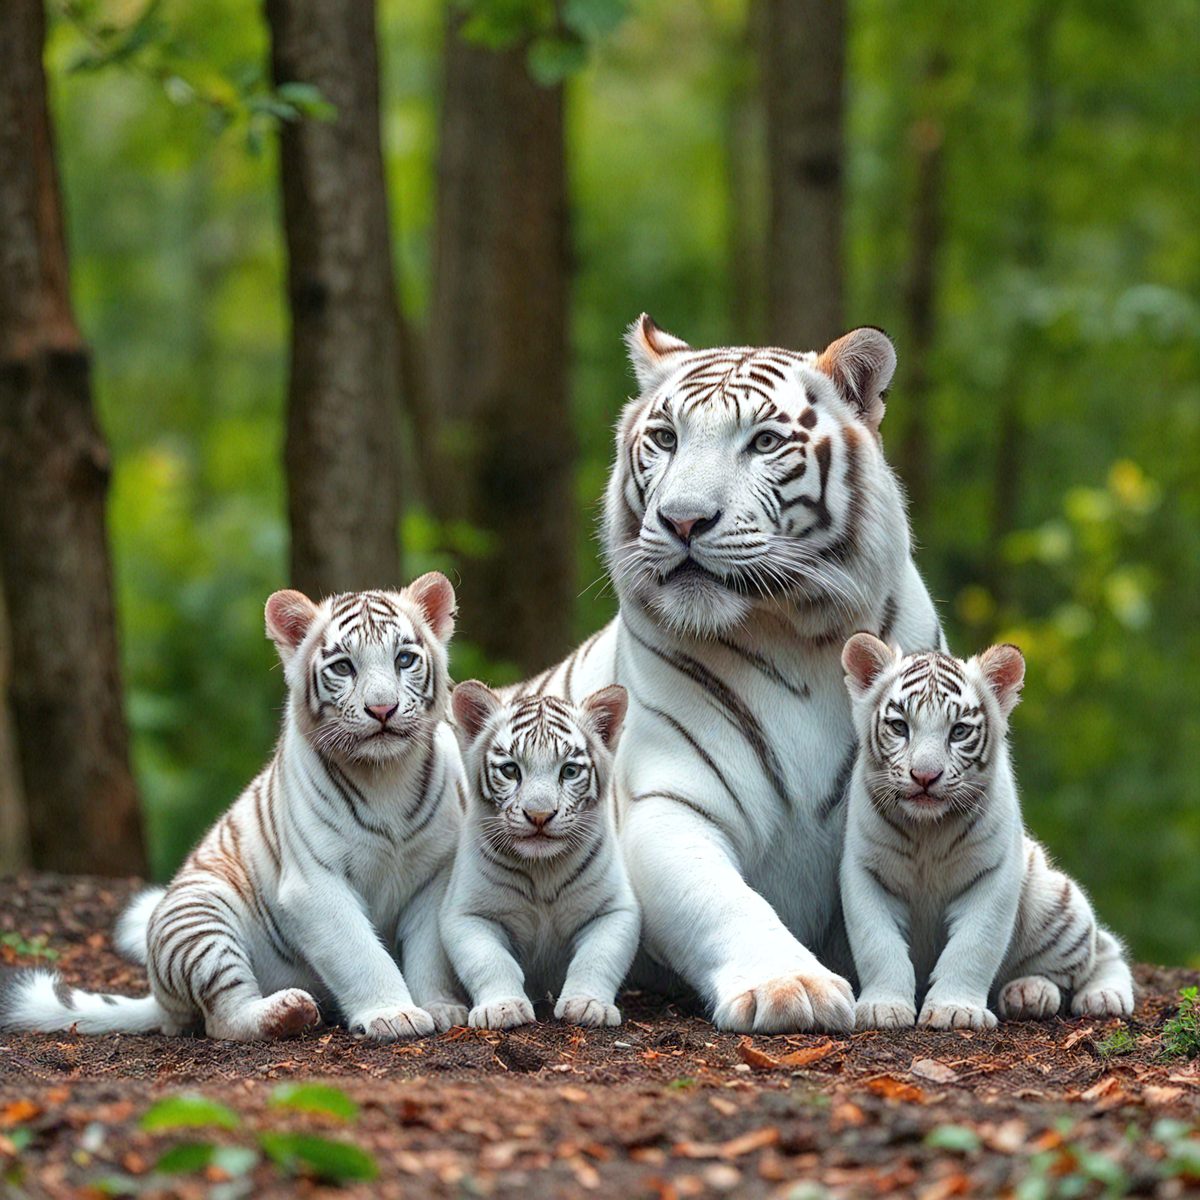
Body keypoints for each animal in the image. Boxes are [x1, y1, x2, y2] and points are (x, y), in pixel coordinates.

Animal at [0, 576, 468, 1042]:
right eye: (343, 667)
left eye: (404, 659)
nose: (382, 709)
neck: (386, 773)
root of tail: (159, 999)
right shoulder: (314, 883)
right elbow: (360, 953)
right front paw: (393, 1014)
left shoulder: (435, 875)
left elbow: (428, 954)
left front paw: (439, 1006)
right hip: (198, 917)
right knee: (222, 1018)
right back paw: (287, 1010)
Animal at [440, 682, 639, 1030]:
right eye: (510, 770)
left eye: (569, 771)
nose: (539, 816)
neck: (542, 870)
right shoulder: (467, 913)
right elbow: (489, 960)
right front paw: (502, 1008)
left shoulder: (614, 910)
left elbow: (597, 958)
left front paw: (589, 1005)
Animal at [839, 632, 1134, 1030]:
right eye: (900, 727)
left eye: (959, 731)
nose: (925, 777)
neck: (927, 831)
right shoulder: (865, 871)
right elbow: (878, 944)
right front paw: (882, 1007)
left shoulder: (994, 873)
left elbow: (975, 945)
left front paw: (955, 1010)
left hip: (1053, 901)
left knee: (1102, 949)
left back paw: (1086, 995)